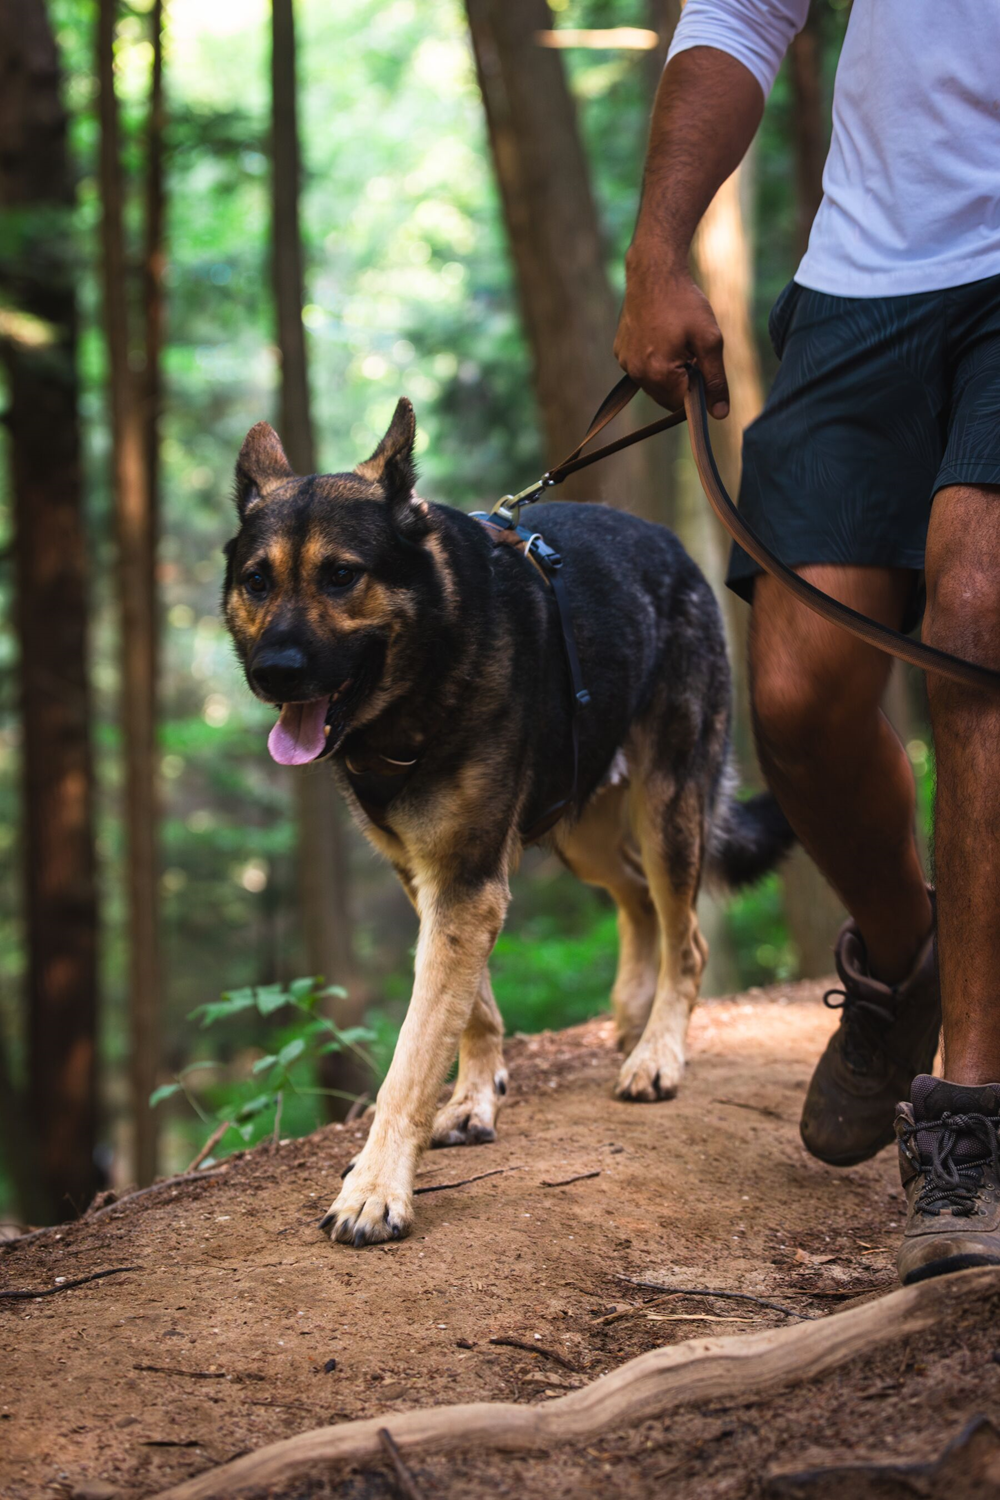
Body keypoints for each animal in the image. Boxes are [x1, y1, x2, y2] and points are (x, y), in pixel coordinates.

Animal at [223, 396, 791, 1242]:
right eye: (258, 582)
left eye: (341, 575)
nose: (275, 674)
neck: (428, 668)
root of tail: (671, 546)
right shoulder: (437, 881)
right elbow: (471, 1012)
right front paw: (472, 1098)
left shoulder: (467, 883)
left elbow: (412, 1053)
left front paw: (377, 1185)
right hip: (583, 831)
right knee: (635, 899)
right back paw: (632, 1016)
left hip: (666, 810)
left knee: (685, 936)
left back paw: (657, 1053)